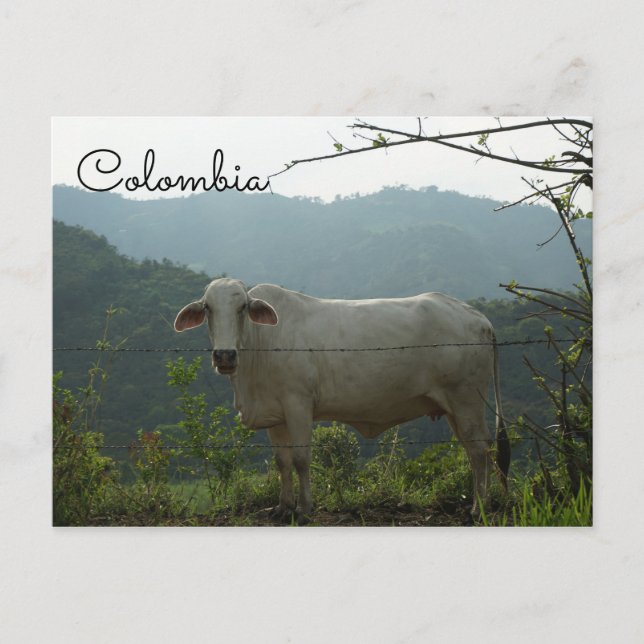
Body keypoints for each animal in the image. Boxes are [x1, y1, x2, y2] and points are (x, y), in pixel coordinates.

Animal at [174, 278, 510, 523]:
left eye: (242, 307)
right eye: (207, 307)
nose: (225, 355)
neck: (261, 346)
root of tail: (478, 318)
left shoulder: (298, 405)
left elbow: (301, 459)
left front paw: (304, 509)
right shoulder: (276, 415)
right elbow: (282, 462)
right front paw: (283, 507)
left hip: (467, 399)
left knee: (479, 449)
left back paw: (478, 508)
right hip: (455, 407)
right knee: (472, 450)